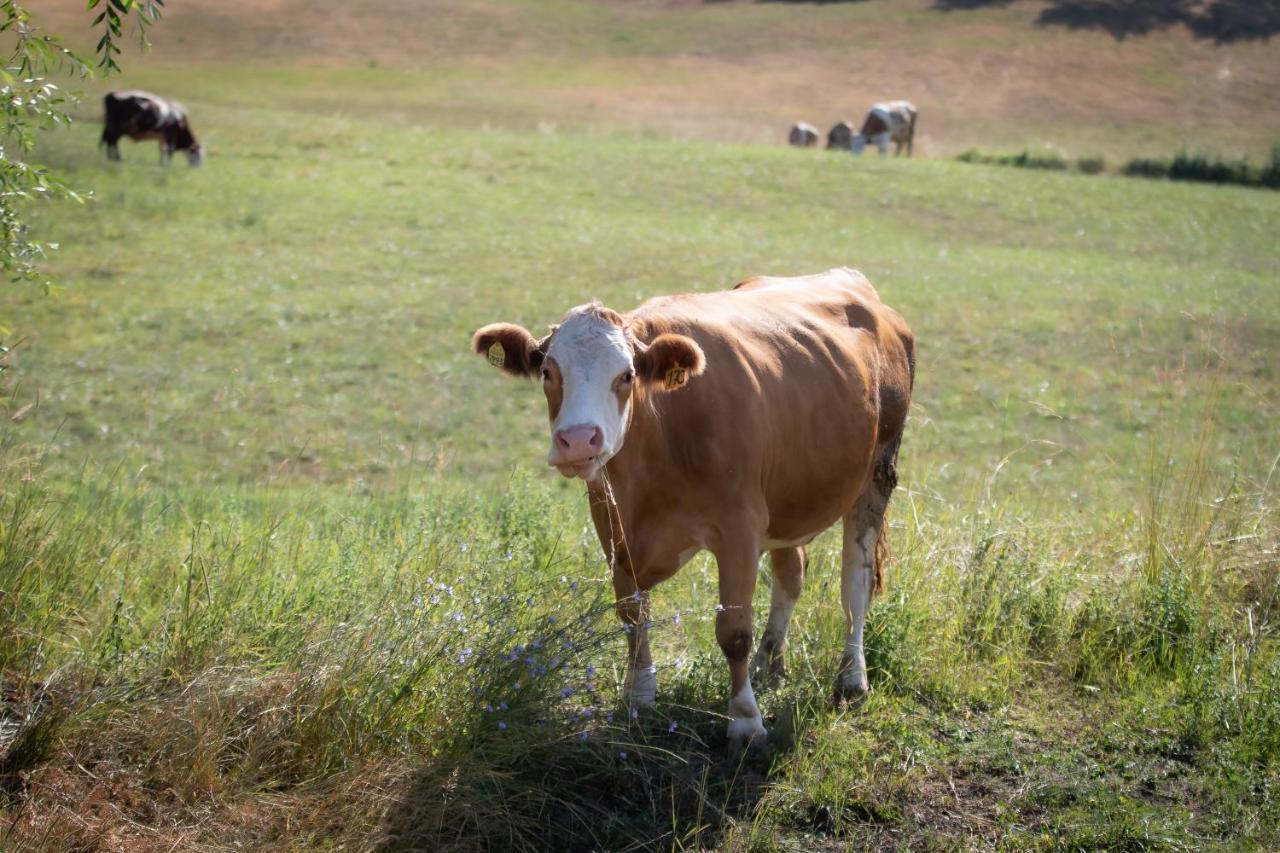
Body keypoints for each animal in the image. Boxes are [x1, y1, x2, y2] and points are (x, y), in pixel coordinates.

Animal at [476, 268, 916, 747]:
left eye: (627, 375)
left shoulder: (740, 527)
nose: (577, 440)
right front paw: (639, 698)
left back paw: (851, 679)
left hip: (877, 472)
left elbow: (734, 632)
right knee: (791, 572)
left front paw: (746, 721)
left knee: (855, 583)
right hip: (792, 491)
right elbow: (632, 615)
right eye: (547, 371)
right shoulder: (613, 525)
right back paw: (770, 663)